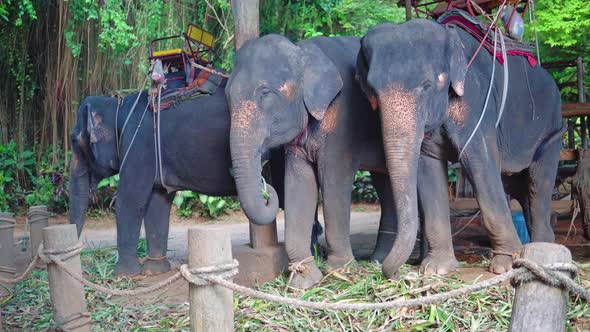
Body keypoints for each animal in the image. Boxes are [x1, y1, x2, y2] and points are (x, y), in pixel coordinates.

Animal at [70, 89, 308, 278]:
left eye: (74, 141)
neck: (118, 106)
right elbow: (157, 203)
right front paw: (155, 271)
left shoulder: (138, 146)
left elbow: (130, 201)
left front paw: (124, 276)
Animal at [227, 33, 402, 288]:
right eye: (227, 97)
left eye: (265, 93)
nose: (267, 190)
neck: (301, 51)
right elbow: (299, 185)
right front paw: (304, 280)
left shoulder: (343, 120)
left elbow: (334, 181)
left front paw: (341, 271)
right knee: (385, 182)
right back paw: (378, 261)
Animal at [358, 17, 568, 278]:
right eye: (372, 90)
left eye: (427, 85)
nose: (393, 273)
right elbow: (428, 168)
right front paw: (436, 269)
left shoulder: (476, 102)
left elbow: (479, 162)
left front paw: (506, 266)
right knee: (518, 185)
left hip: (552, 130)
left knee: (539, 183)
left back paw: (542, 252)